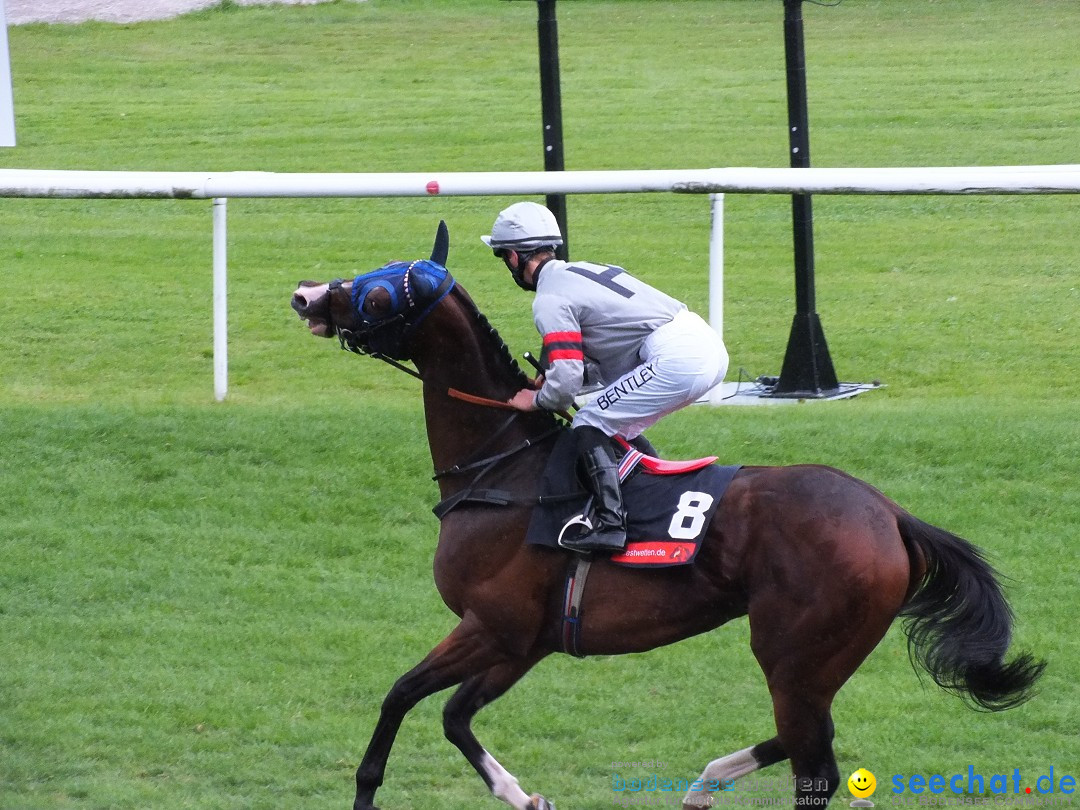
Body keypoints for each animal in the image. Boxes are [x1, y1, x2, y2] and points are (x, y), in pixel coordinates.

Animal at [291, 223, 1041, 810]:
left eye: (381, 292)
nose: (305, 293)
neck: (503, 468)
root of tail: (889, 513)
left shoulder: (490, 624)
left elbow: (399, 695)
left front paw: (366, 791)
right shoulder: (524, 640)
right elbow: (452, 715)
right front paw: (525, 796)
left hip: (795, 653)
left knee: (816, 766)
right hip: (816, 661)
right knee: (808, 739)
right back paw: (707, 781)